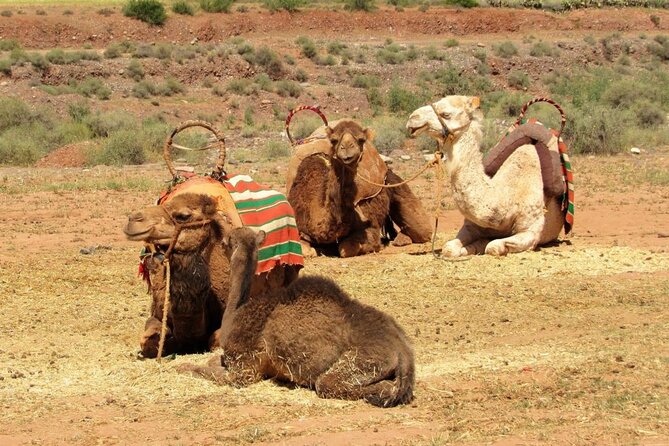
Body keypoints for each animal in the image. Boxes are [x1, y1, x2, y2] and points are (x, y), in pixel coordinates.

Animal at [177, 225, 415, 407]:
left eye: (225, 243)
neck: (235, 314)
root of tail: (403, 352)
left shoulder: (244, 367)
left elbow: (207, 370)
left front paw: (183, 367)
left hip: (361, 361)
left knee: (332, 383)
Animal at [286, 119, 432, 257]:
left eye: (361, 139)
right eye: (334, 140)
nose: (346, 148)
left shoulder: (369, 227)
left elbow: (346, 249)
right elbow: (304, 249)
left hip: (392, 182)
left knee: (423, 230)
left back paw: (402, 239)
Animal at [406, 95, 569, 256]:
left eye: (446, 114)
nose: (412, 118)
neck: (506, 197)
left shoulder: (531, 231)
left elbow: (493, 247)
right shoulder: (471, 225)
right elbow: (449, 248)